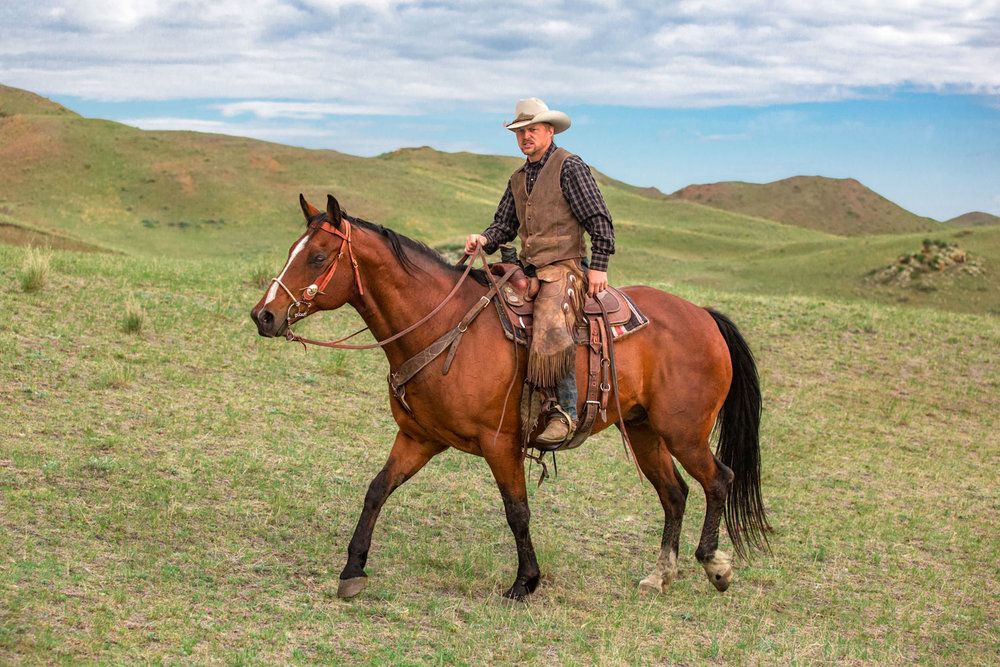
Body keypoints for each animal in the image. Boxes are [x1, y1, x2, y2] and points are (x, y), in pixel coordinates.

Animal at [254, 192, 768, 600]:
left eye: (319, 257)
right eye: (293, 251)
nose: (265, 315)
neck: (443, 326)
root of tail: (703, 315)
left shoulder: (500, 443)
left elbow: (517, 511)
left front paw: (525, 582)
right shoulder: (419, 438)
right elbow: (377, 490)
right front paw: (352, 569)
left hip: (684, 432)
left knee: (718, 479)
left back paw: (715, 566)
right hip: (644, 430)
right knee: (675, 493)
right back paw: (660, 575)